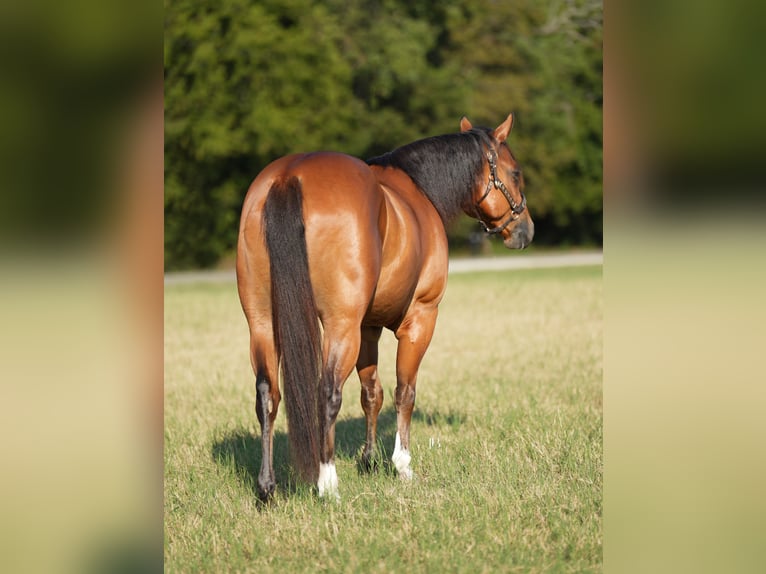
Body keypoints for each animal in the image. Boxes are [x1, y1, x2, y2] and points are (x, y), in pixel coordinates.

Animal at [236, 113, 533, 500]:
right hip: (340, 325)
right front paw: (401, 464)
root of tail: (290, 175)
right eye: (515, 173)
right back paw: (327, 484)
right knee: (327, 392)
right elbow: (404, 392)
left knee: (267, 394)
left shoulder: (368, 327)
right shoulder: (420, 318)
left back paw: (266, 487)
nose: (526, 230)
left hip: (262, 323)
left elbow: (371, 393)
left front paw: (369, 460)